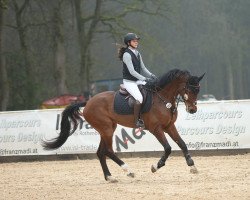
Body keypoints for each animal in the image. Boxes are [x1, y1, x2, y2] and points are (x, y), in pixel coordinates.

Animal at [42, 69, 204, 183]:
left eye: (198, 90)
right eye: (190, 89)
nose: (193, 110)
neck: (162, 98)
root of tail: (88, 102)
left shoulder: (169, 126)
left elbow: (182, 144)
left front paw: (192, 166)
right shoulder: (156, 129)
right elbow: (168, 148)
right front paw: (156, 166)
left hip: (107, 129)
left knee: (101, 152)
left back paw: (110, 177)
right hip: (107, 129)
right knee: (108, 151)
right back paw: (128, 170)